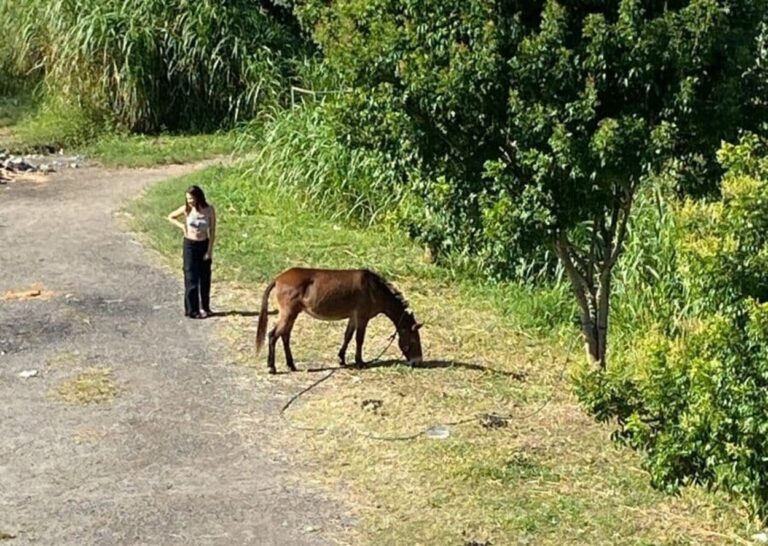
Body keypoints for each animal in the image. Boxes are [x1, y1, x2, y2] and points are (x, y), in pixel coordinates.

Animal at [256, 268, 423, 374]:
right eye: (415, 340)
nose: (417, 362)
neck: (375, 289)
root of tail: (278, 279)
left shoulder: (353, 317)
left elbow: (347, 336)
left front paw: (341, 359)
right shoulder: (362, 317)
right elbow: (359, 339)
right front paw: (360, 362)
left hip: (292, 314)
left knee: (285, 336)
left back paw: (291, 365)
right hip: (288, 313)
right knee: (273, 335)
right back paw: (272, 367)